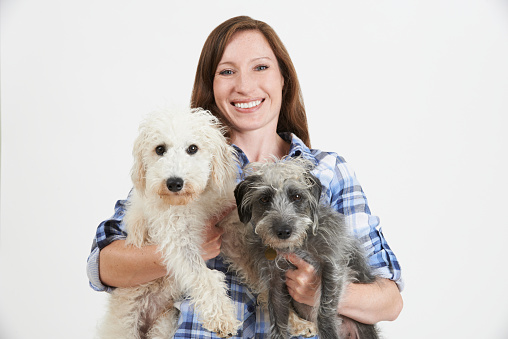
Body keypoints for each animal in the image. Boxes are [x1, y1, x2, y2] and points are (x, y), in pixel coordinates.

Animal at [100, 108, 243, 339]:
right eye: (160, 149)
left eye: (193, 148)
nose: (174, 183)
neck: (193, 201)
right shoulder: (178, 240)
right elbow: (204, 277)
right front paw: (222, 318)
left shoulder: (227, 224)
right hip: (124, 324)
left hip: (164, 324)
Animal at [221, 159, 378, 339]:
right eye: (264, 198)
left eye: (296, 196)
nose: (283, 231)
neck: (296, 246)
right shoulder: (275, 282)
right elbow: (278, 321)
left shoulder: (333, 266)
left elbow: (325, 308)